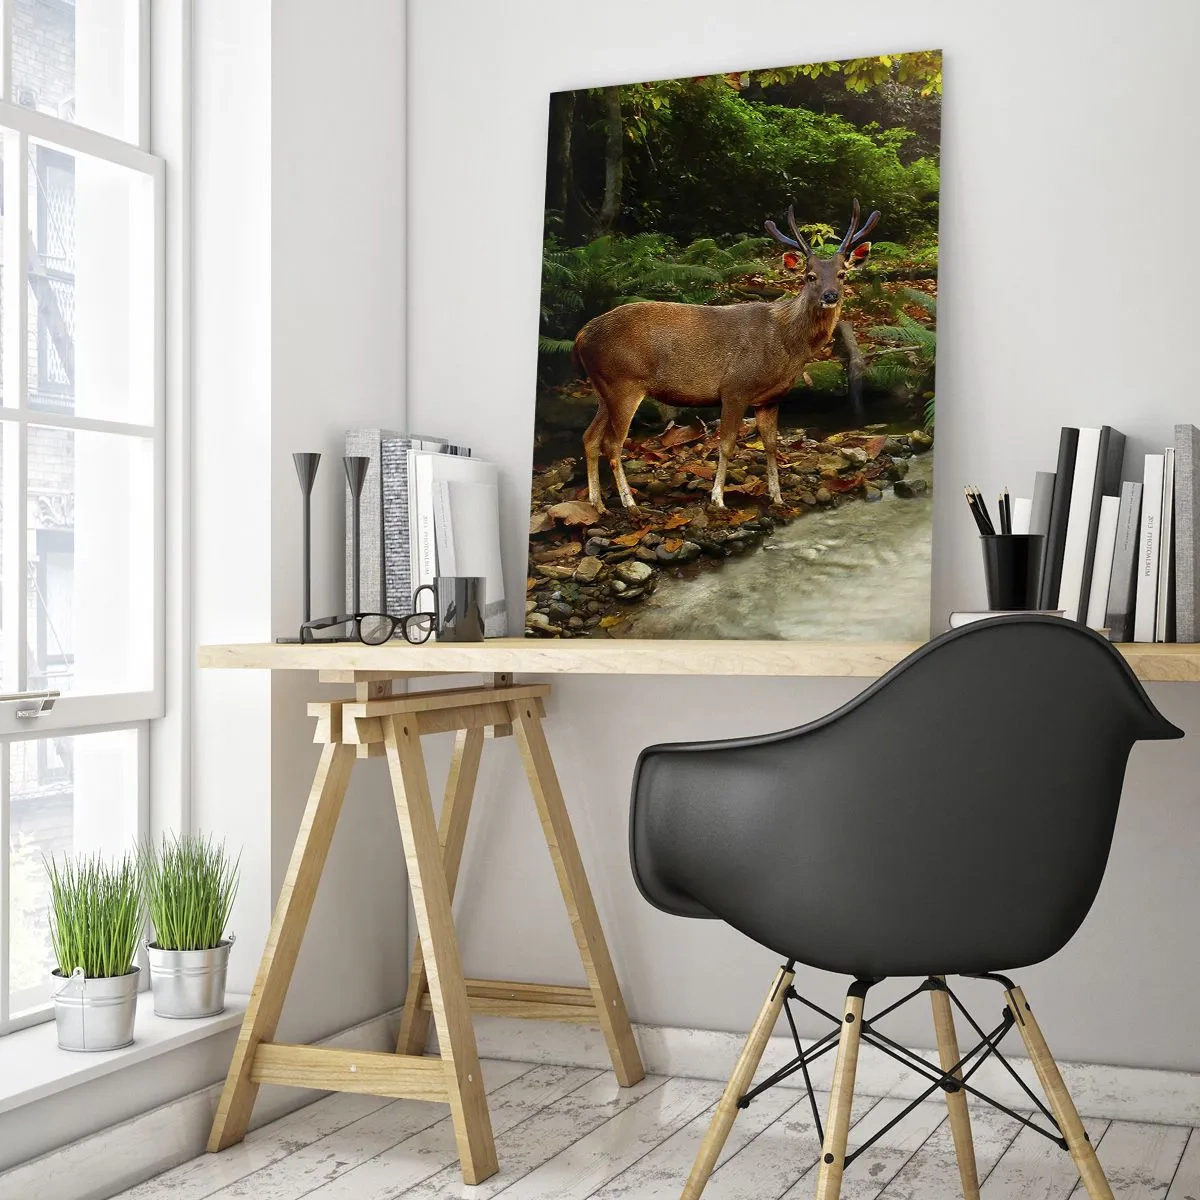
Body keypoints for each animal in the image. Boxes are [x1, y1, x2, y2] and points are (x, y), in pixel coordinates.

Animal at [574, 200, 880, 512]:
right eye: (810, 277)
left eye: (842, 274)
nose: (830, 296)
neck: (786, 346)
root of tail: (581, 336)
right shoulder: (735, 387)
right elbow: (727, 444)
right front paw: (718, 498)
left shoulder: (770, 398)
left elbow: (771, 444)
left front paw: (777, 497)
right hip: (623, 382)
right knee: (612, 443)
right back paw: (629, 503)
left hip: (604, 388)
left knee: (590, 437)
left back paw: (597, 503)